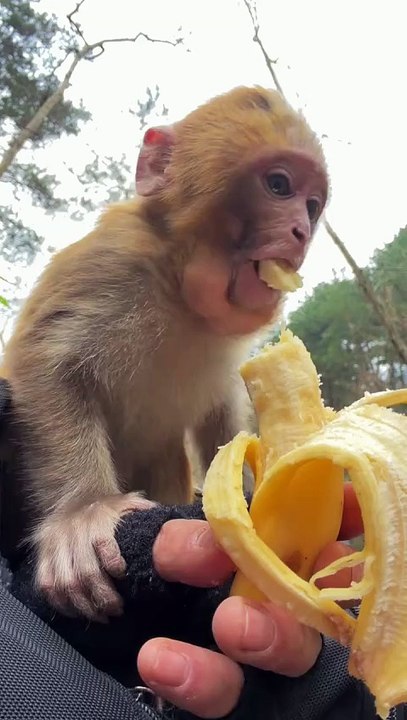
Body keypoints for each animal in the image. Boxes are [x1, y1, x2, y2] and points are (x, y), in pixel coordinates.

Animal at [0, 86, 329, 622]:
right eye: (279, 185)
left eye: (313, 206)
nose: (301, 231)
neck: (180, 291)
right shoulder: (114, 259)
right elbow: (44, 363)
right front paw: (82, 511)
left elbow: (220, 411)